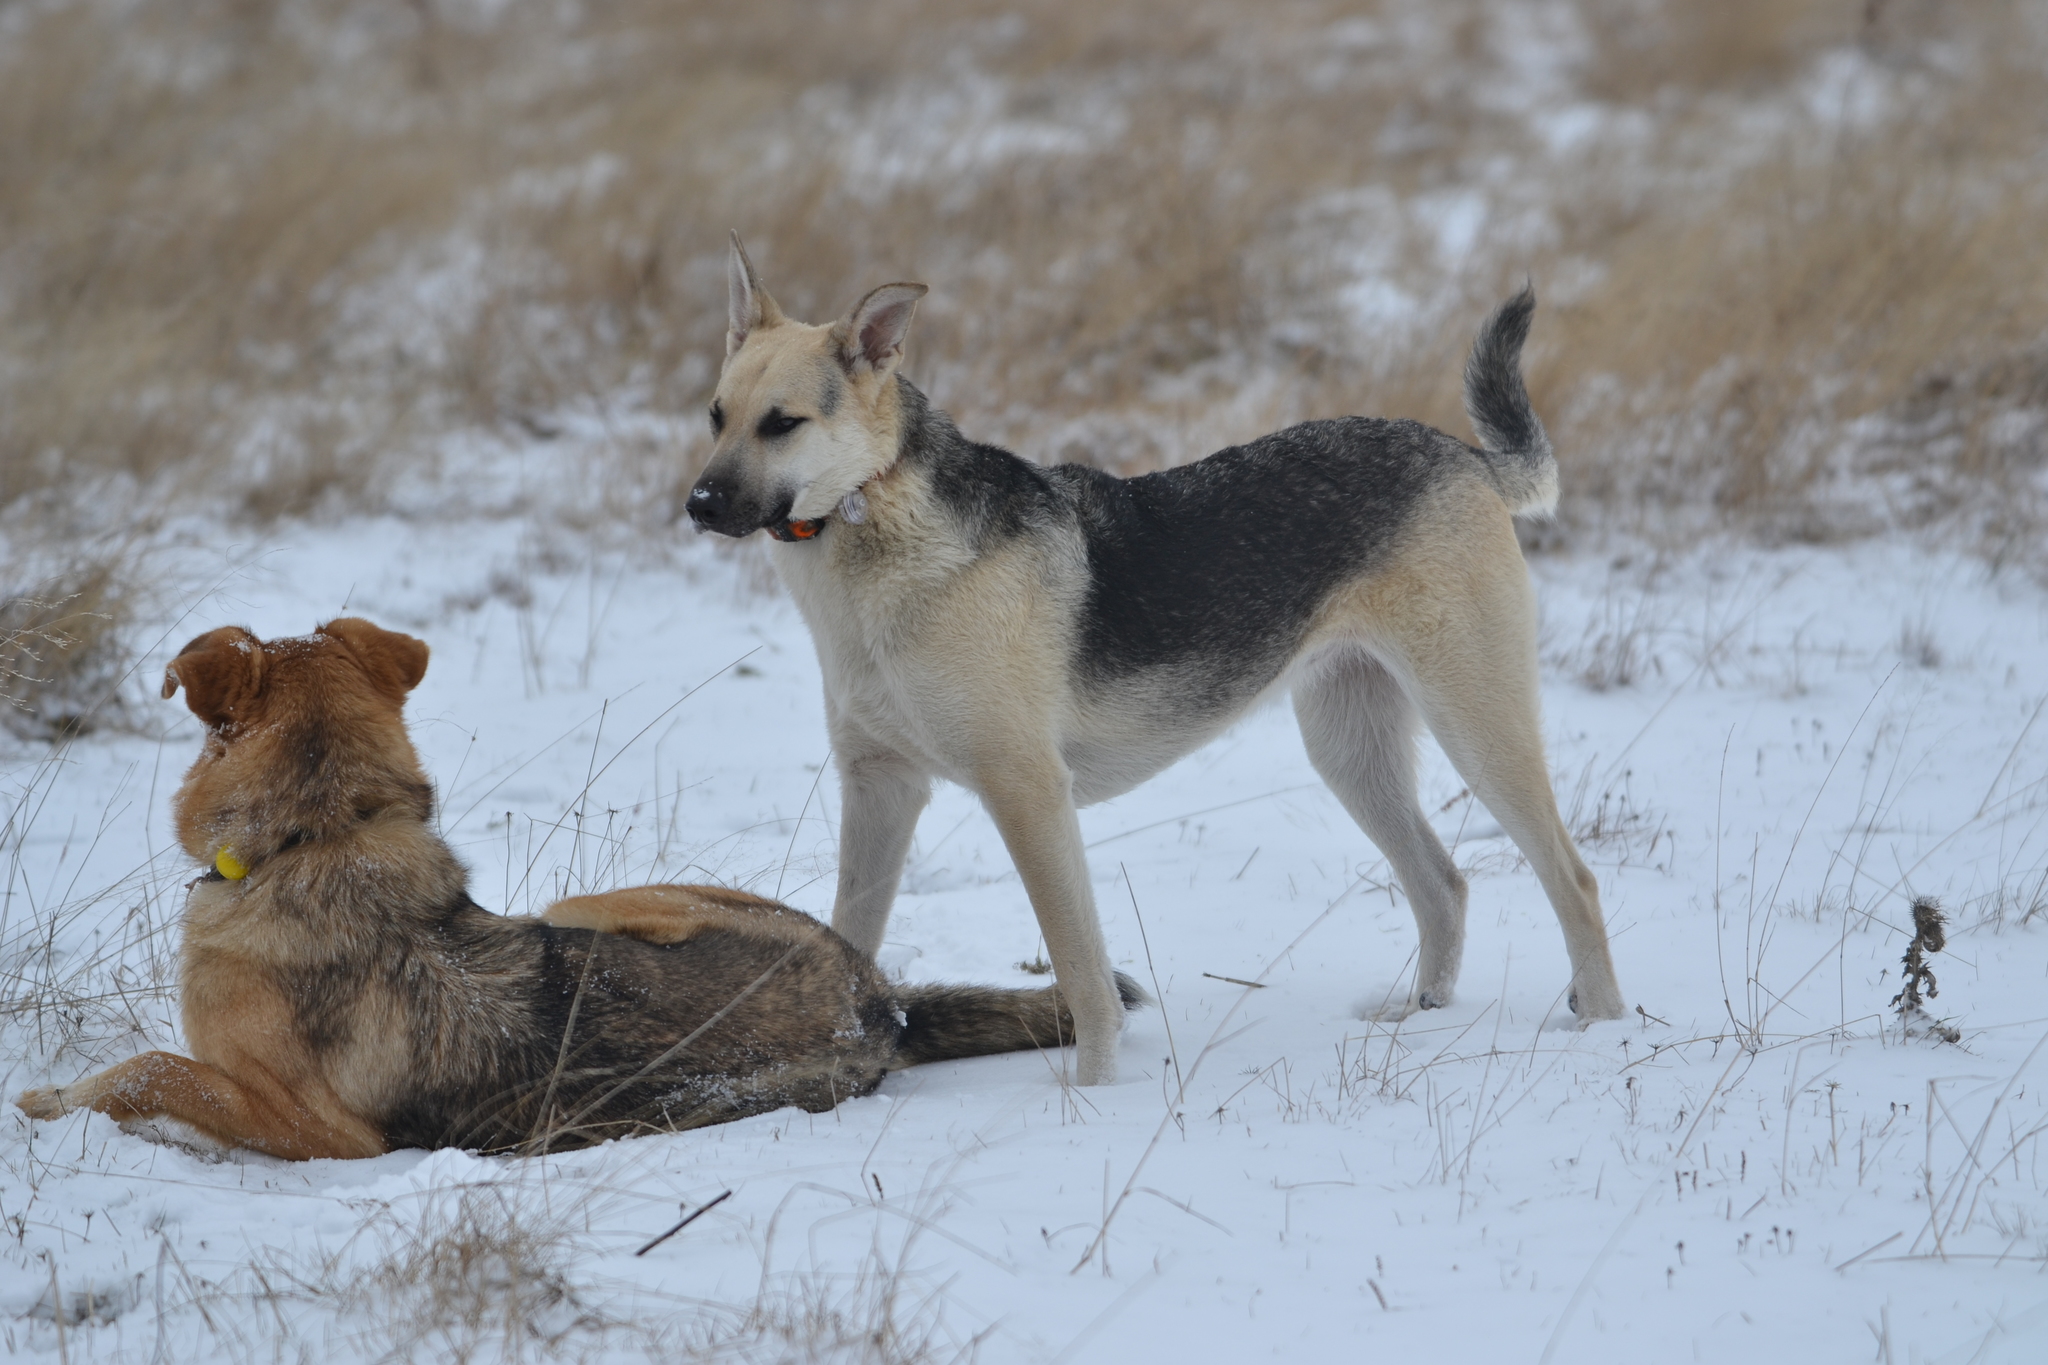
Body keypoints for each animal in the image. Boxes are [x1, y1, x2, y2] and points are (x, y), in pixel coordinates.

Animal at [12, 622, 1138, 1162]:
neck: (325, 829)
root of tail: (881, 1004)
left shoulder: (326, 1134)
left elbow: (155, 1068)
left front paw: (54, 1100)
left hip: (589, 905)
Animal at [688, 237, 1630, 1088]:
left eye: (783, 424)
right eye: (716, 416)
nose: (697, 504)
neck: (871, 512)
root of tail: (1464, 456)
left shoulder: (1027, 791)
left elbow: (1082, 973)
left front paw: (1095, 1096)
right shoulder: (880, 785)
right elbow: (848, 933)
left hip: (1476, 723)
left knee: (1576, 879)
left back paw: (1603, 1025)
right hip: (1350, 748)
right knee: (1444, 883)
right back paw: (1420, 1017)